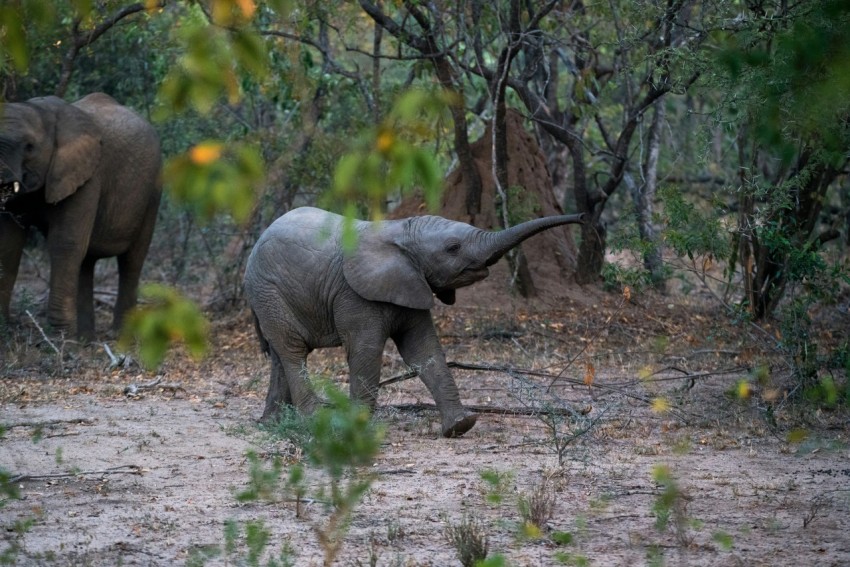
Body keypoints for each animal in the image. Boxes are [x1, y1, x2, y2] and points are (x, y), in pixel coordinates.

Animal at [0, 93, 162, 339]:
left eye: (29, 147)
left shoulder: (88, 176)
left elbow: (64, 242)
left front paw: (60, 339)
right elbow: (10, 243)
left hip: (153, 190)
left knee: (131, 260)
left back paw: (119, 336)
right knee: (86, 262)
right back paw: (86, 338)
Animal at [243, 206, 585, 437]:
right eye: (453, 248)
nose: (583, 218)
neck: (401, 231)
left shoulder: (412, 283)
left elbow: (423, 350)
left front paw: (460, 426)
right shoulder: (353, 294)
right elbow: (366, 351)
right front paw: (356, 430)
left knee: (279, 355)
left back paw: (272, 424)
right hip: (268, 291)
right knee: (292, 350)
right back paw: (315, 422)